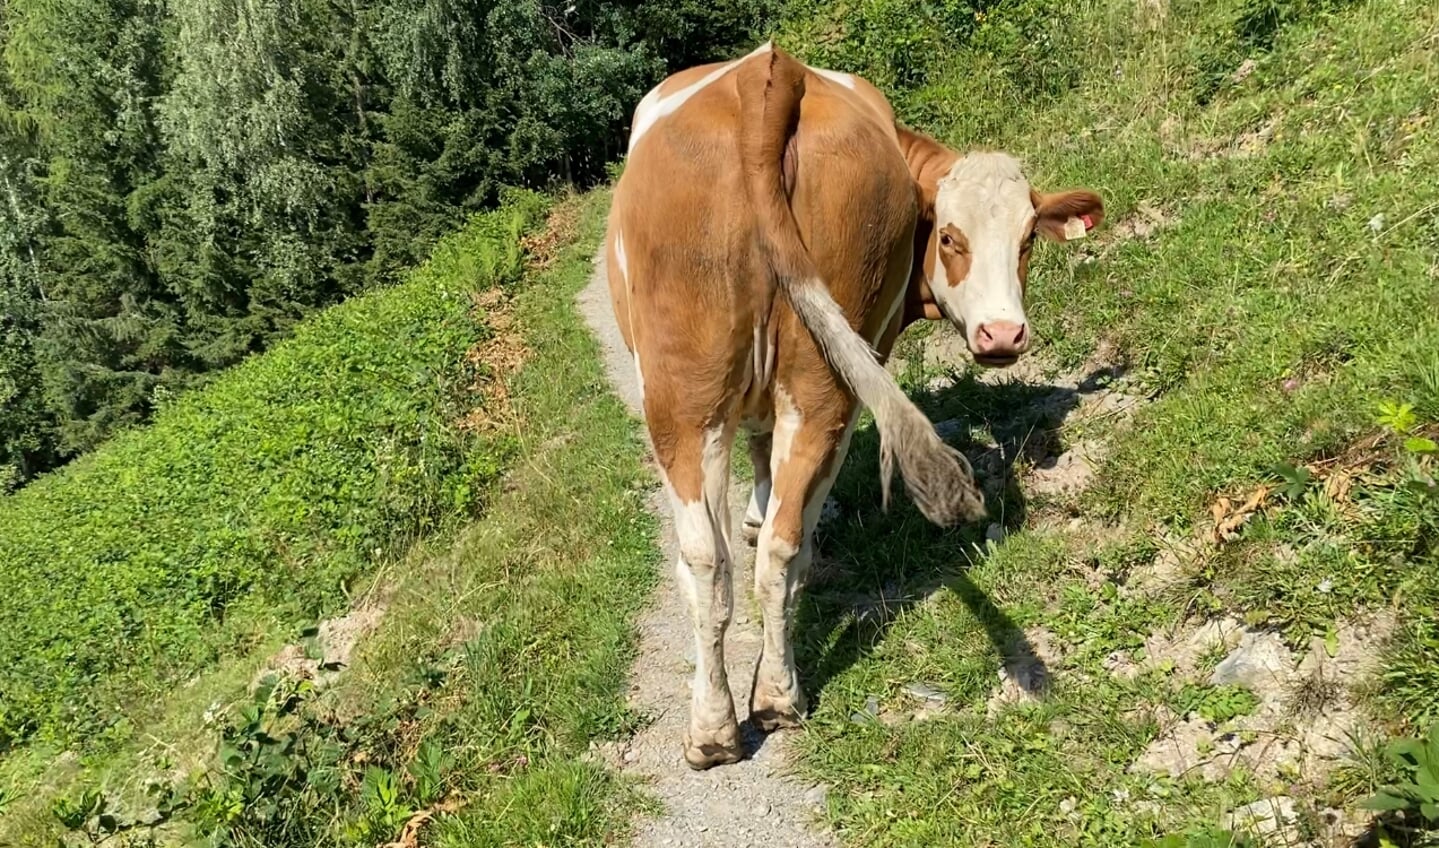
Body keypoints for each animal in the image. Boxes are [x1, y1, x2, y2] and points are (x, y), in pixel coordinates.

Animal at [604, 41, 1099, 765]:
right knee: (745, 554)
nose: (1004, 335)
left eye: (1028, 238)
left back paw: (739, 715)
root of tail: (769, 73)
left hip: (717, 392)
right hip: (759, 389)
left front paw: (754, 511)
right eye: (949, 238)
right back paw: (745, 712)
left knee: (727, 558)